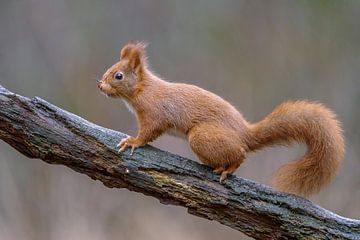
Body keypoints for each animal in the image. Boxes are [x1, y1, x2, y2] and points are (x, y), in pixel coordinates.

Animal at [97, 40, 344, 195]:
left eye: (118, 76)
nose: (99, 85)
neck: (143, 90)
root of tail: (245, 134)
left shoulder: (155, 113)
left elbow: (148, 132)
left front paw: (132, 141)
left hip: (201, 137)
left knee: (240, 153)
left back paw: (228, 168)